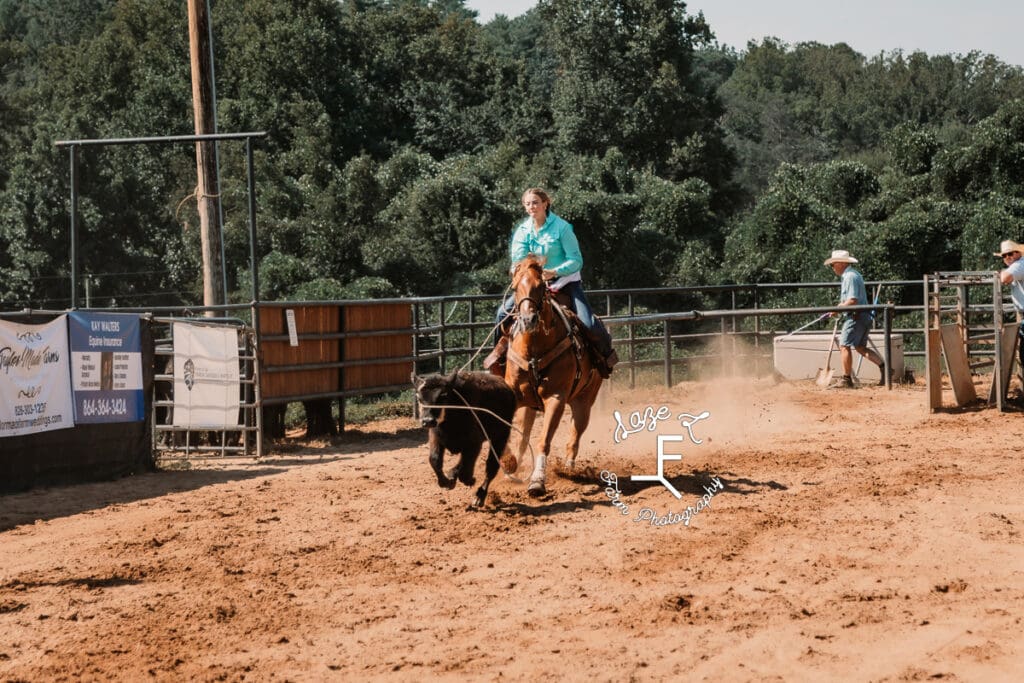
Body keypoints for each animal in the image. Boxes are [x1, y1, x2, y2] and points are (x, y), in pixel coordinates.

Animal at [501, 255, 598, 497]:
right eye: (515, 287)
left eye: (540, 287)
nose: (528, 320)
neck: (534, 350)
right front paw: (508, 462)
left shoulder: (556, 399)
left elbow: (543, 440)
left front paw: (537, 481)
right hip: (528, 406)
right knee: (524, 436)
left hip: (584, 402)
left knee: (575, 436)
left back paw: (569, 469)